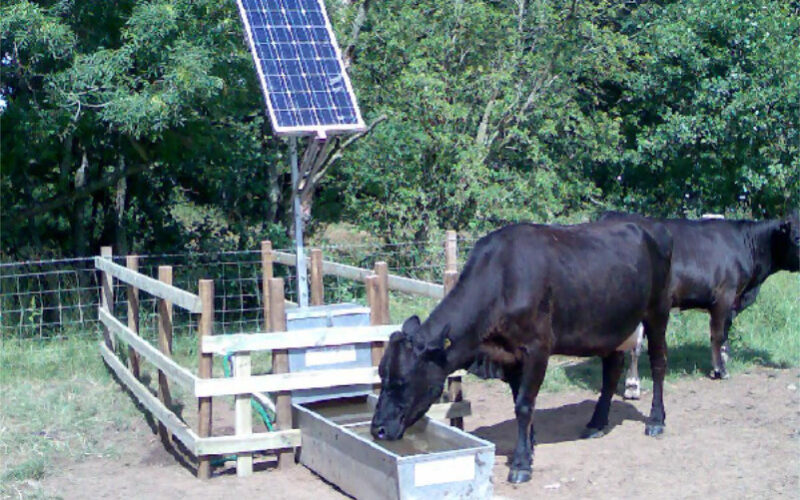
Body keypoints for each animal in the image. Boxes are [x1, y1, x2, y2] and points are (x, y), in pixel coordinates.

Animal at [372, 220, 672, 484]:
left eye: (402, 381)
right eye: (382, 376)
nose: (377, 429)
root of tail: (648, 227)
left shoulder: (537, 348)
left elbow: (524, 405)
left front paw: (521, 464)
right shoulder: (511, 356)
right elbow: (520, 401)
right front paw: (529, 445)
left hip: (658, 311)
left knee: (658, 363)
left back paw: (656, 421)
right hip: (611, 326)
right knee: (611, 372)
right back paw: (596, 423)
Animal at [608, 210, 800, 394]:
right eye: (796, 238)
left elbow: (724, 334)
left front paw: (721, 362)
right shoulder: (724, 296)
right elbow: (718, 335)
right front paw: (721, 370)